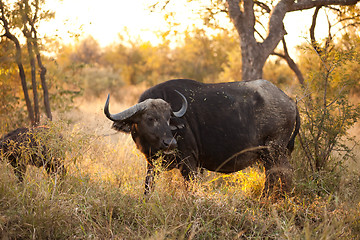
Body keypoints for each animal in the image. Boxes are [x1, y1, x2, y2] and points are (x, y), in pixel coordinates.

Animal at [105, 79, 300, 195]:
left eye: (168, 118)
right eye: (150, 118)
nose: (170, 143)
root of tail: (290, 101)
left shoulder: (189, 163)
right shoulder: (152, 165)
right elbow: (147, 188)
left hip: (274, 152)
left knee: (281, 176)